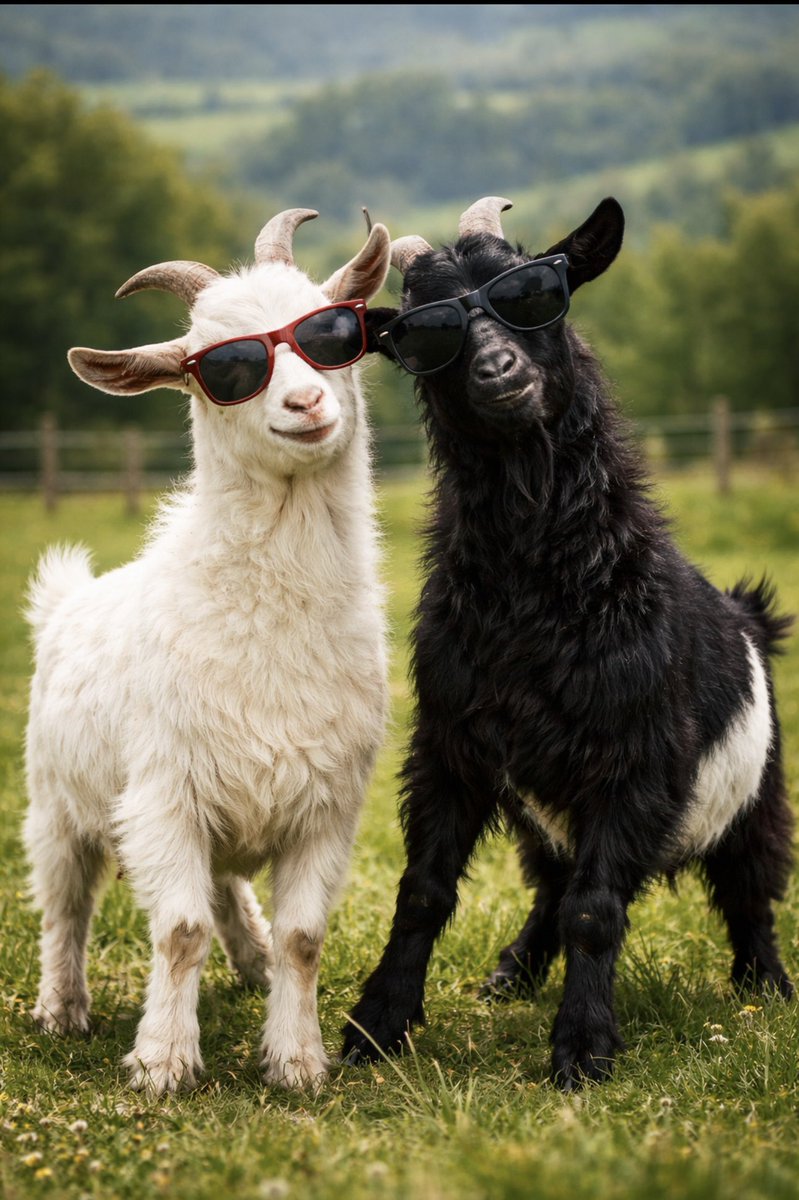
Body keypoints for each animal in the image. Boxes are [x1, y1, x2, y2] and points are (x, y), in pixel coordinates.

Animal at [24, 208, 391, 1094]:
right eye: (220, 368)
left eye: (333, 329)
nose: (305, 401)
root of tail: (67, 600)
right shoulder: (163, 797)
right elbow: (180, 931)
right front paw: (162, 1061)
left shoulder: (326, 807)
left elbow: (302, 938)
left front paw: (296, 1060)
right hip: (55, 805)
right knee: (66, 906)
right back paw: (62, 1007)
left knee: (226, 887)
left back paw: (252, 960)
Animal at [342, 196, 794, 1090]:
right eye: (420, 331)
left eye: (535, 292)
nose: (497, 370)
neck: (544, 594)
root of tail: (749, 616)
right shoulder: (450, 744)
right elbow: (424, 891)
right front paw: (373, 1025)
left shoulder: (635, 757)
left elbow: (594, 909)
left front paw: (582, 1049)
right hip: (540, 813)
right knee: (549, 886)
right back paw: (513, 969)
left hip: (757, 796)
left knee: (750, 889)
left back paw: (764, 985)